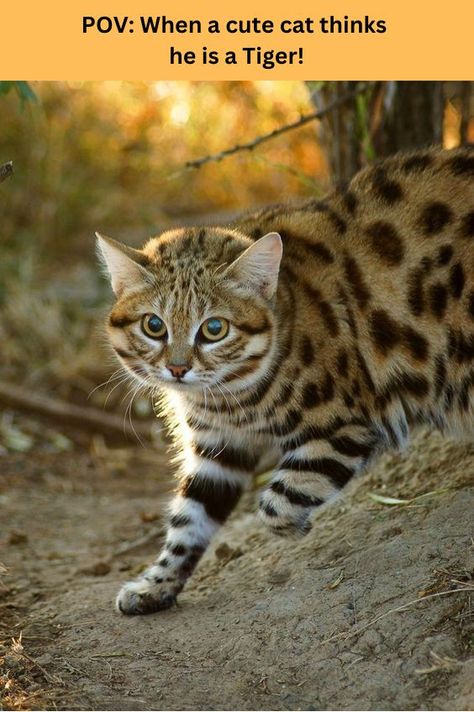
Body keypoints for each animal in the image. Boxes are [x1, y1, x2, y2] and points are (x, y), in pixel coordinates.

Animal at [97, 145, 474, 612]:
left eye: (214, 329)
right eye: (153, 326)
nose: (178, 369)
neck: (228, 395)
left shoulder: (347, 425)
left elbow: (274, 504)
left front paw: (296, 526)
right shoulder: (217, 449)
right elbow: (188, 519)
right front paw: (157, 583)